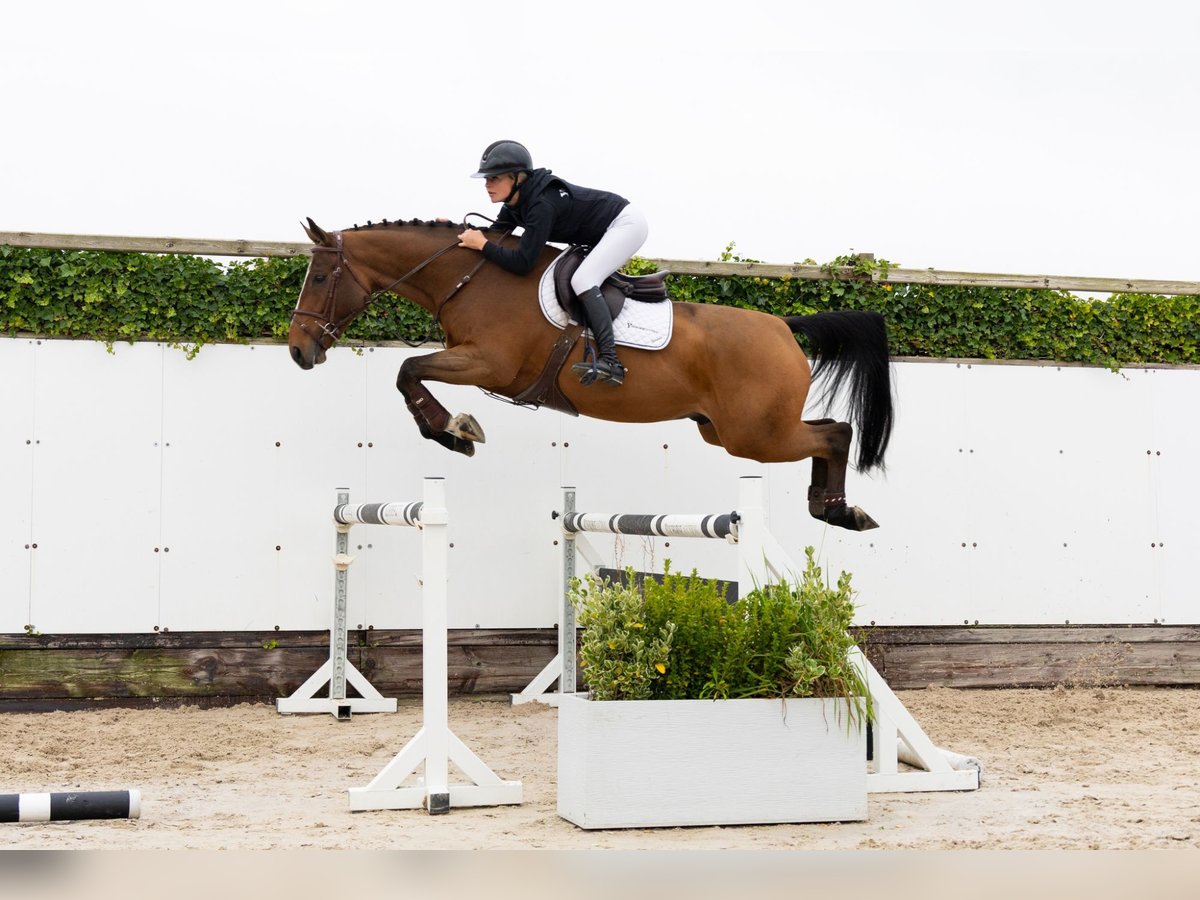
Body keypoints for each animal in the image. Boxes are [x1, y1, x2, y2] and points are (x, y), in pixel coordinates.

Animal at [288, 217, 893, 531]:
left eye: (317, 278)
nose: (298, 351)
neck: (474, 277)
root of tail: (784, 326)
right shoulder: (473, 359)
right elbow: (409, 372)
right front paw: (452, 430)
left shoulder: (489, 363)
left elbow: (407, 368)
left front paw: (455, 431)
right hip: (726, 431)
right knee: (826, 431)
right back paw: (832, 509)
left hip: (754, 435)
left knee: (836, 432)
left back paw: (841, 512)